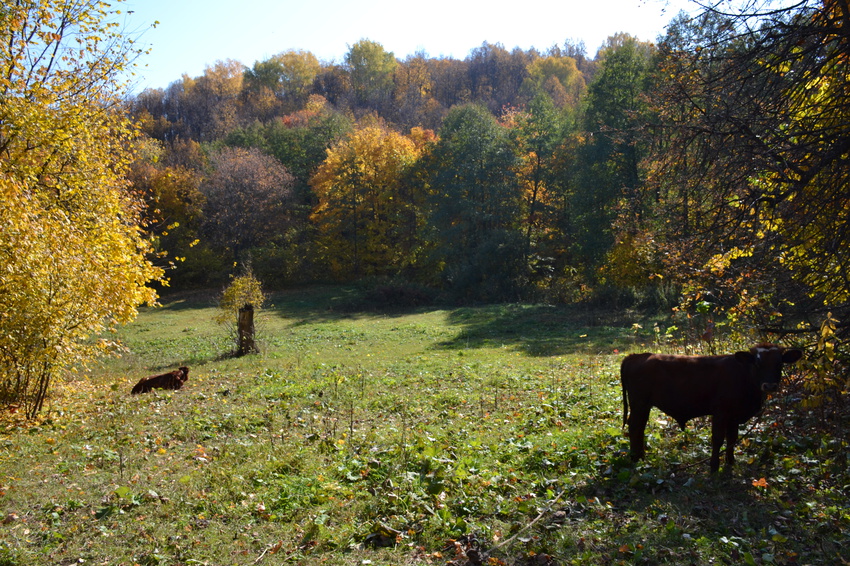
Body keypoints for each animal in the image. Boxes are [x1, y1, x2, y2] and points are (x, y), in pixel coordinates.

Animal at [620, 346, 800, 474]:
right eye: (757, 363)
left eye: (779, 363)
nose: (769, 386)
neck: (744, 376)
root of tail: (636, 356)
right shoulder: (720, 412)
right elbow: (718, 439)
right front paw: (714, 467)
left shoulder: (733, 416)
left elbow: (732, 438)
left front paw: (730, 461)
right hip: (639, 403)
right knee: (635, 426)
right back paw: (635, 458)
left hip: (643, 405)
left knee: (640, 427)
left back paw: (640, 456)